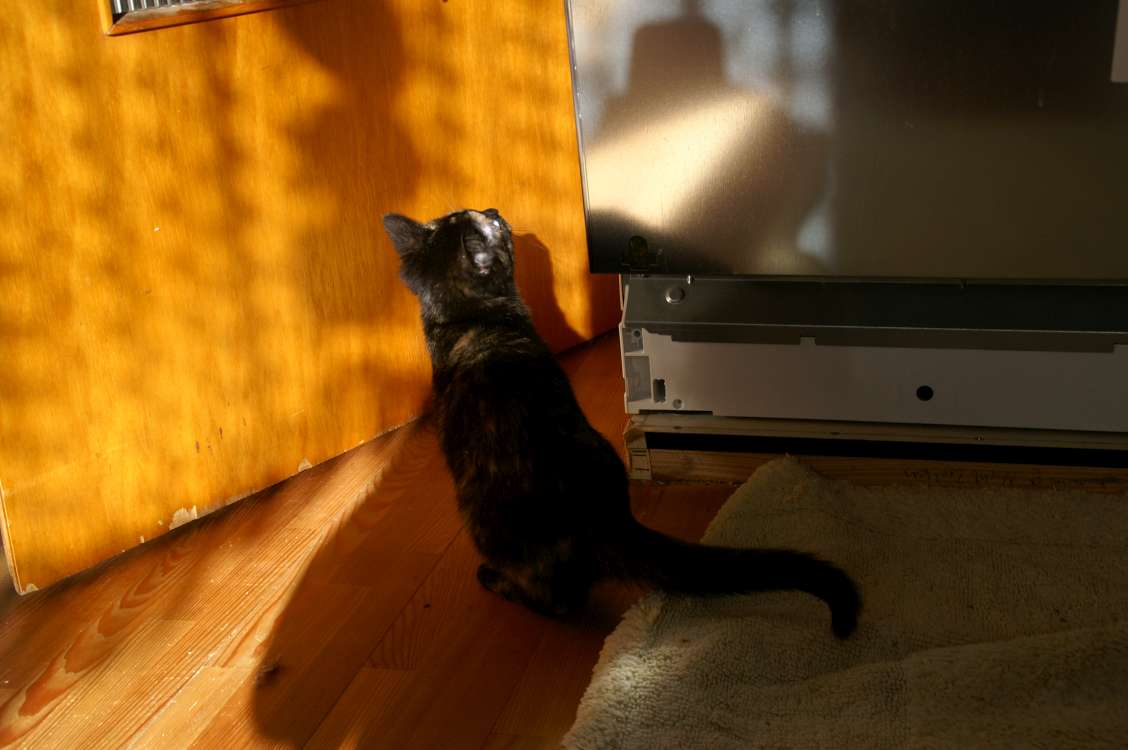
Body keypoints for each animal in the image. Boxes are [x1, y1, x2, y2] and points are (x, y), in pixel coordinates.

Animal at [383, 208, 860, 637]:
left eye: (492, 222)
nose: (497, 210)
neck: (469, 317)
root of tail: (609, 518)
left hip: (482, 517)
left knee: (558, 600)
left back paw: (498, 582)